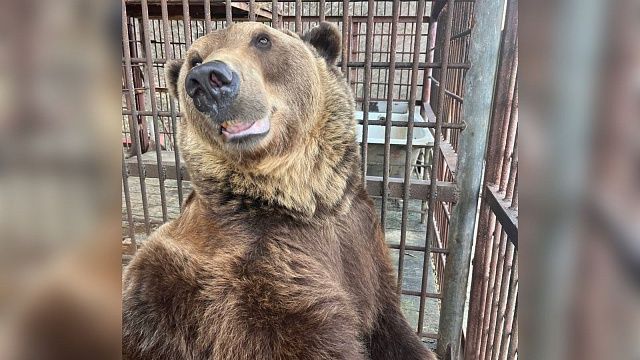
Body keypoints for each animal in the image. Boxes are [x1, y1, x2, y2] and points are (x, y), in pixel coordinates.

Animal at [122, 22, 438, 360]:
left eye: (262, 39)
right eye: (194, 58)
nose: (206, 78)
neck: (301, 199)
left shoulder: (362, 243)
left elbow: (391, 323)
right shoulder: (256, 279)